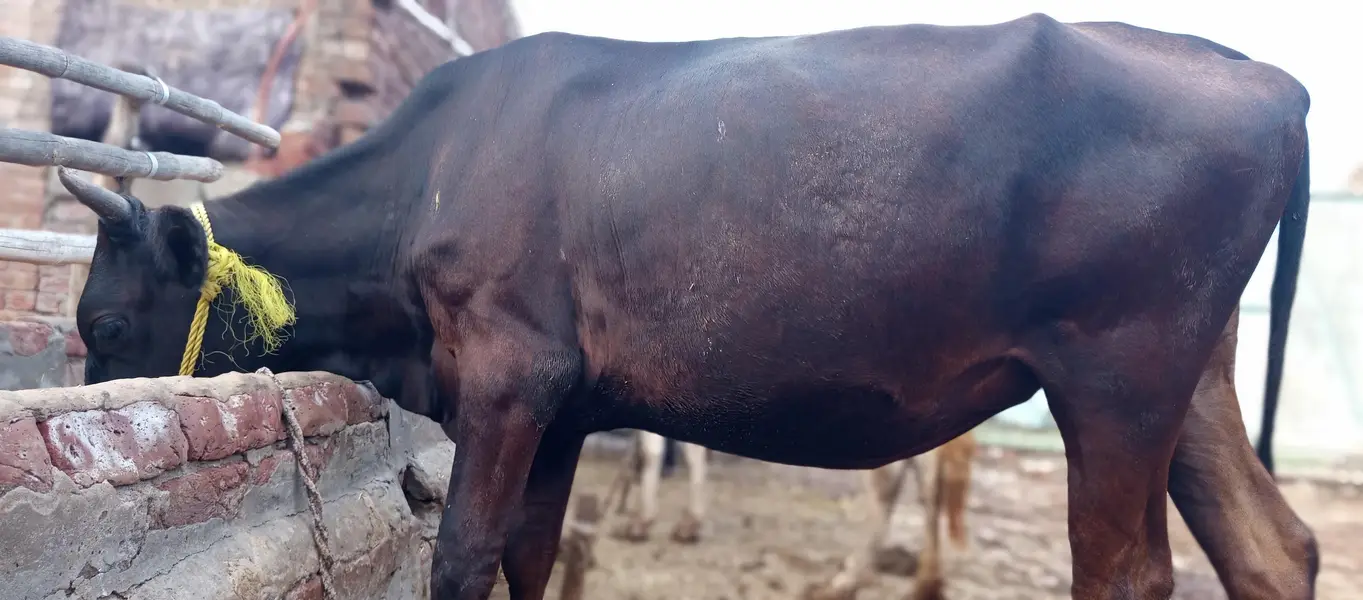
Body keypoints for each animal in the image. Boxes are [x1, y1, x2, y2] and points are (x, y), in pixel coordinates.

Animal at [58, 13, 1318, 600]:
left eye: (105, 327)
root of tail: (1259, 74)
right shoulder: (563, 410)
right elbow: (531, 554)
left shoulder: (509, 378)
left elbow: (462, 556)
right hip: (1187, 380)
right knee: (1274, 547)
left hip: (1113, 374)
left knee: (1126, 572)